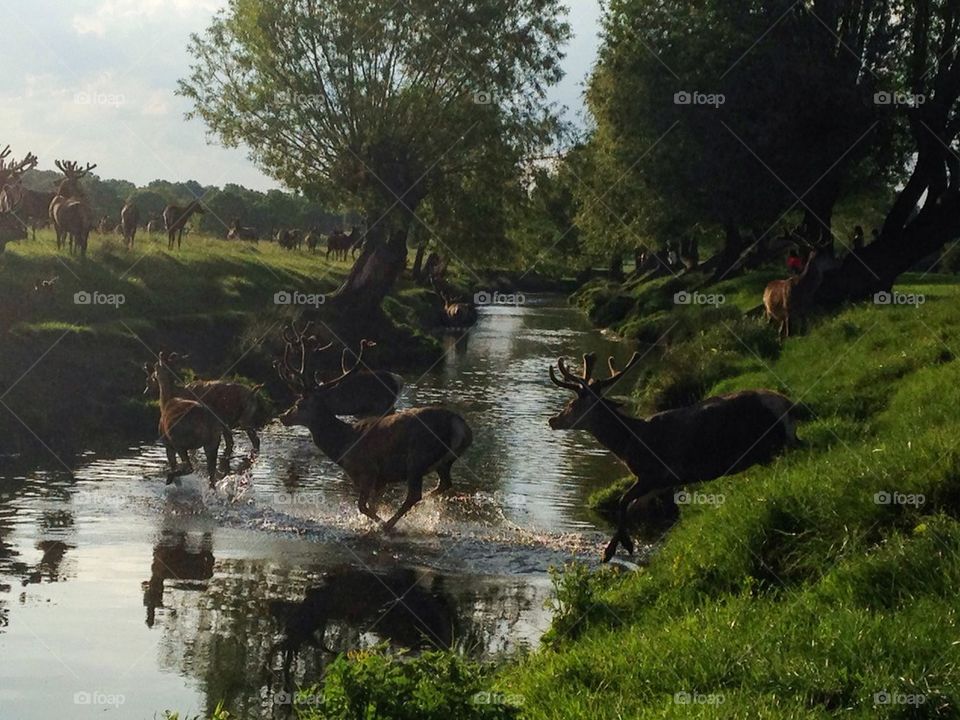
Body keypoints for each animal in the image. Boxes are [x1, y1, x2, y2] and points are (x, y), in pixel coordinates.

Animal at [150, 351, 230, 486]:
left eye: (156, 366)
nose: (152, 376)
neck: (164, 403)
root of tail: (207, 422)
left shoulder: (167, 442)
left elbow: (173, 465)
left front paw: (174, 482)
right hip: (213, 442)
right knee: (211, 476)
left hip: (180, 441)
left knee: (189, 467)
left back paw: (169, 477)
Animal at [277, 331, 472, 530]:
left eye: (299, 404)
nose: (283, 416)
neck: (342, 445)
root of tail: (459, 424)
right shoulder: (381, 480)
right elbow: (372, 504)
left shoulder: (368, 470)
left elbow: (362, 506)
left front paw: (378, 522)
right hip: (444, 462)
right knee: (444, 484)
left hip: (418, 457)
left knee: (414, 494)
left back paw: (390, 524)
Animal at [549, 352, 797, 562]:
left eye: (572, 404)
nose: (553, 420)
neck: (631, 444)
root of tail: (789, 405)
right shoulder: (665, 482)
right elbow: (635, 507)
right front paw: (627, 544)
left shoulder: (655, 473)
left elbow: (623, 502)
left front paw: (612, 550)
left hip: (771, 445)